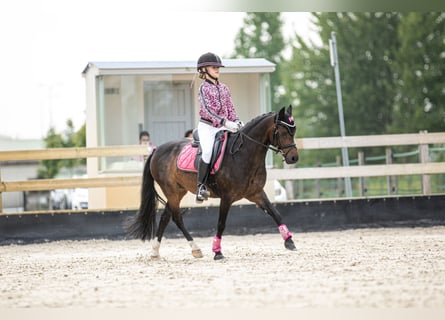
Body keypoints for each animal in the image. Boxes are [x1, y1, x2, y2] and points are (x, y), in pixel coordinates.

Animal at [125, 105, 298, 260]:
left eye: (294, 131)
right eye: (283, 132)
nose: (294, 158)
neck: (243, 154)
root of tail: (157, 150)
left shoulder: (256, 193)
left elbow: (276, 214)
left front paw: (289, 241)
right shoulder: (227, 197)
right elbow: (221, 223)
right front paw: (217, 251)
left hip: (178, 191)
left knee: (165, 217)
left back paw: (157, 251)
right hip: (171, 191)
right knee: (176, 217)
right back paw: (195, 248)